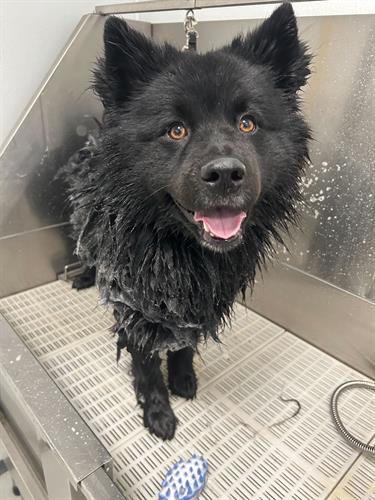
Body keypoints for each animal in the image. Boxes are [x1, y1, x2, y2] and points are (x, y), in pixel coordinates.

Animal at [64, 1, 312, 440]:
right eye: (175, 130)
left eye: (247, 123)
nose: (226, 173)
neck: (181, 251)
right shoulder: (136, 304)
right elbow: (146, 363)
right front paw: (158, 411)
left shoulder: (197, 302)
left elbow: (185, 344)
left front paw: (182, 377)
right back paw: (84, 277)